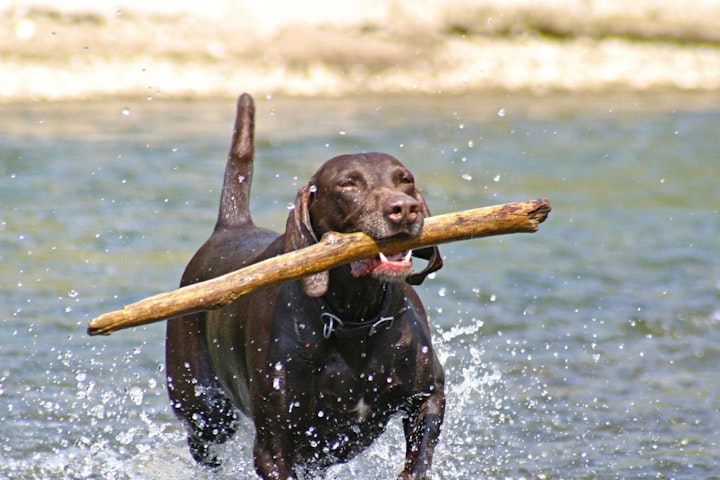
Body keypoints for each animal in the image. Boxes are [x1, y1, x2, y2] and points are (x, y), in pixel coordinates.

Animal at [166, 94, 444, 480]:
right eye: (348, 184)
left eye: (405, 179)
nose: (404, 208)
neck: (354, 319)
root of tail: (230, 227)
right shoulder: (274, 446)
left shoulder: (428, 395)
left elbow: (419, 455)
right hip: (204, 408)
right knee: (203, 441)